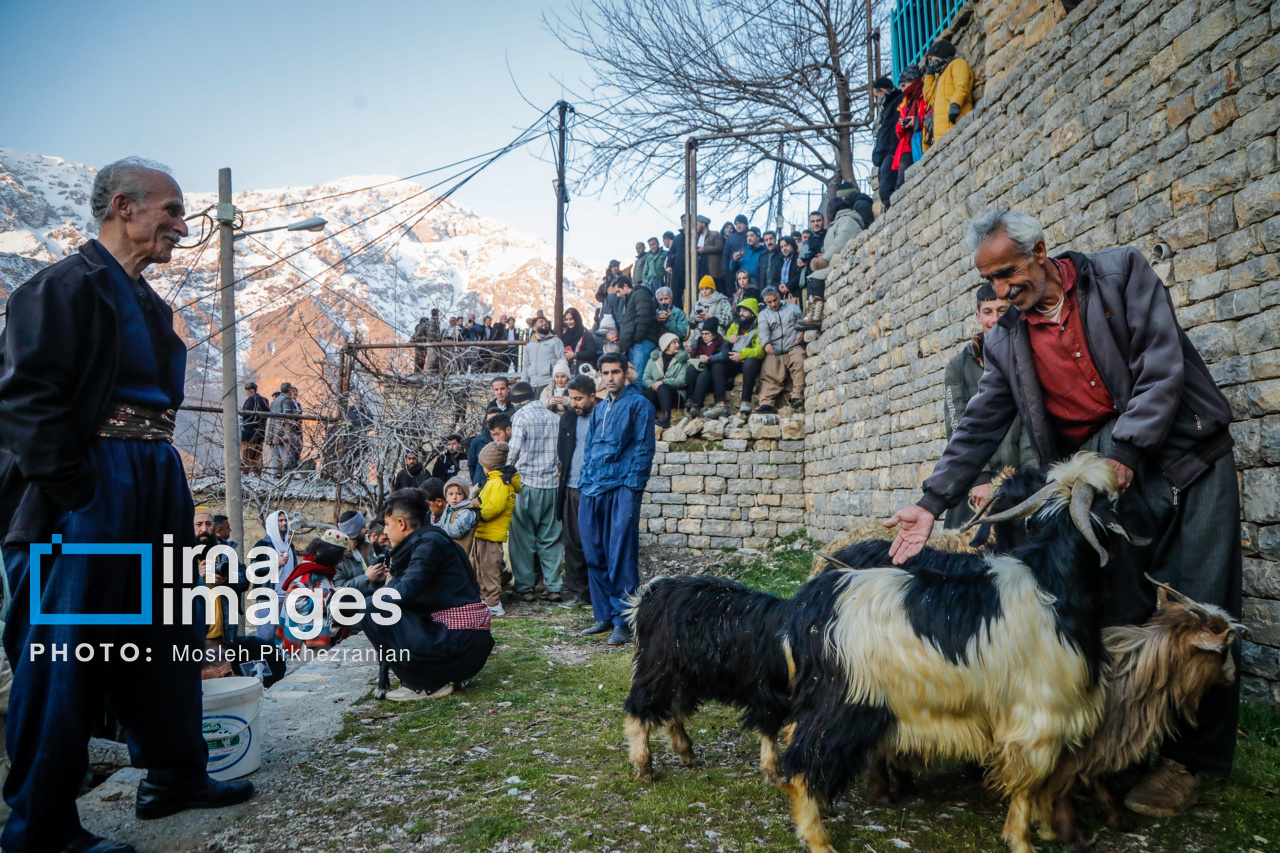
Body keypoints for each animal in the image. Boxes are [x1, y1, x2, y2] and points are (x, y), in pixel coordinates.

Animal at [619, 573, 788, 778]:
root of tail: (649, 595)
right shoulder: (769, 692)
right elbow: (771, 729)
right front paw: (775, 773)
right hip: (659, 670)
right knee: (640, 707)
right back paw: (644, 766)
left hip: (685, 677)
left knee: (673, 710)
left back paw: (687, 754)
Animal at [778, 450, 1131, 850]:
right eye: (1108, 499)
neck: (1053, 582)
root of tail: (808, 603)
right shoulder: (1039, 713)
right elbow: (1028, 786)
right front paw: (1022, 839)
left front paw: (1048, 827)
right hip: (845, 703)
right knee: (801, 764)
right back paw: (820, 836)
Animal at [1039, 578, 1239, 845]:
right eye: (1224, 649)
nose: (1233, 674)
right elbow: (1060, 782)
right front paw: (1071, 835)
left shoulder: (1101, 739)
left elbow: (1092, 775)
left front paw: (1116, 819)